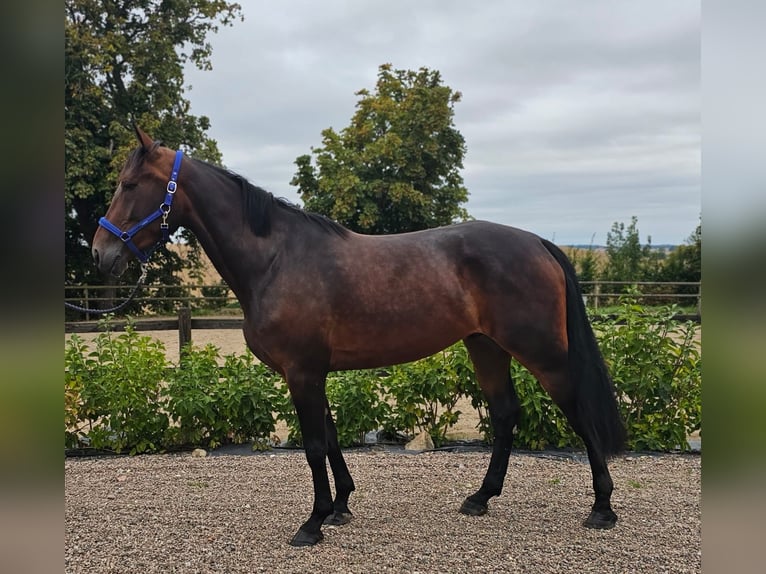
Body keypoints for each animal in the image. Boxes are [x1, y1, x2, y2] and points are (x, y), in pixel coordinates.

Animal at [93, 126, 628, 548]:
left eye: (130, 184)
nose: (101, 254)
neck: (276, 259)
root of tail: (537, 242)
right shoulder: (313, 372)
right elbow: (330, 438)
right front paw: (341, 507)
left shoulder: (302, 372)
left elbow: (313, 445)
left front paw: (312, 523)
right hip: (486, 347)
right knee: (504, 414)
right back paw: (480, 497)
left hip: (543, 354)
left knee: (580, 413)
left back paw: (602, 507)